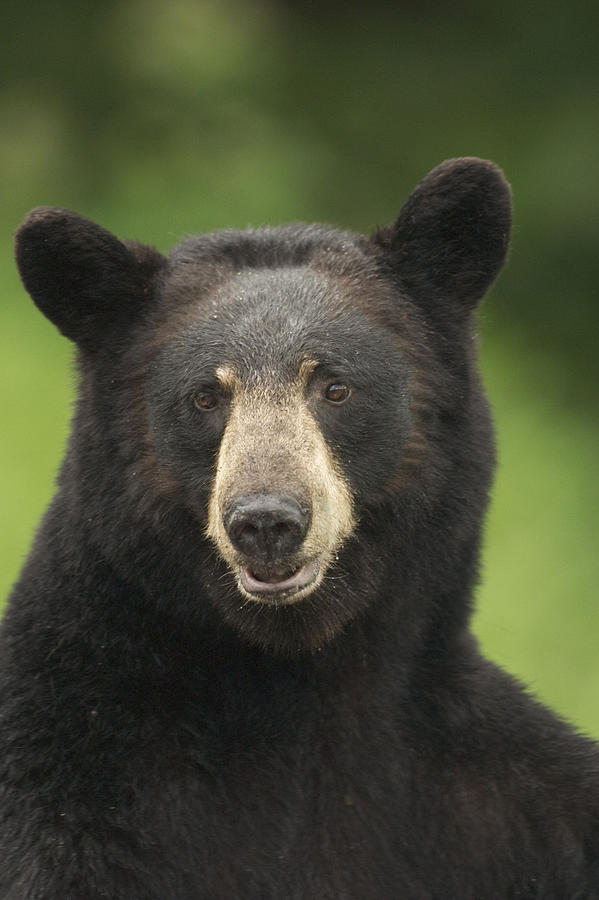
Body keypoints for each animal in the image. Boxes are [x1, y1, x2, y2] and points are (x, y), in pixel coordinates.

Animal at [1, 158, 599, 896]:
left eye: (335, 387)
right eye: (205, 396)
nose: (266, 521)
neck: (301, 684)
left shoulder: (509, 806)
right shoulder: (67, 798)